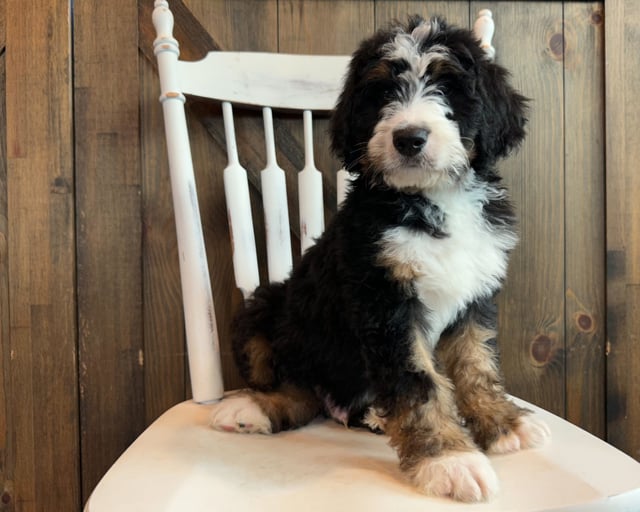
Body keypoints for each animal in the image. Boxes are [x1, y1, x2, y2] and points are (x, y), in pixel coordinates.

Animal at [210, 15, 552, 500]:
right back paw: (252, 408)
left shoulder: (474, 295)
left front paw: (503, 424)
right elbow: (418, 382)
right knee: (295, 386)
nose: (409, 138)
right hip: (266, 308)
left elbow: (476, 364)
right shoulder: (385, 301)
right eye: (382, 93)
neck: (432, 198)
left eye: (447, 88)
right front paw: (449, 459)